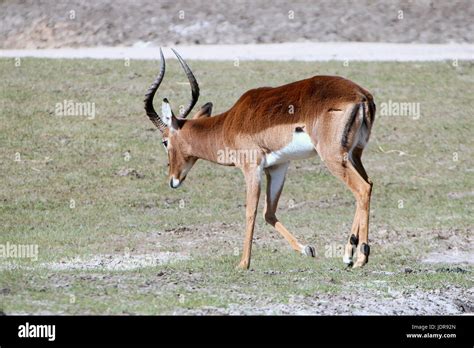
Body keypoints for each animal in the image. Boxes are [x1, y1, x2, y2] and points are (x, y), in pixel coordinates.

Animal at [143, 48, 374, 270]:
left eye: (164, 141)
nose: (172, 180)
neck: (228, 124)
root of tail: (361, 96)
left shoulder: (251, 167)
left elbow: (251, 211)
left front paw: (243, 264)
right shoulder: (278, 167)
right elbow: (268, 213)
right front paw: (307, 249)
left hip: (333, 157)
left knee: (362, 189)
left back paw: (361, 258)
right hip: (353, 155)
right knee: (368, 185)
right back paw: (348, 256)